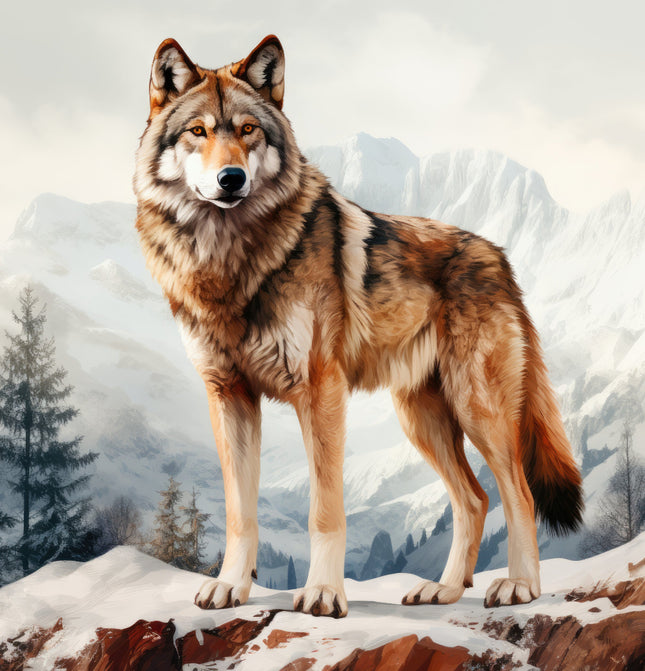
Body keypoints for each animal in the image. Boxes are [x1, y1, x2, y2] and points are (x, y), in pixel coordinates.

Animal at [134, 35, 583, 618]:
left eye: (248, 130)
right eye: (199, 132)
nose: (231, 179)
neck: (228, 259)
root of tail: (501, 260)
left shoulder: (321, 391)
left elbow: (325, 510)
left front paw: (324, 593)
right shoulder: (229, 396)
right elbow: (239, 512)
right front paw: (230, 587)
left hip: (477, 408)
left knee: (518, 492)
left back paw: (520, 587)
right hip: (422, 419)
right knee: (475, 498)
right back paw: (444, 590)